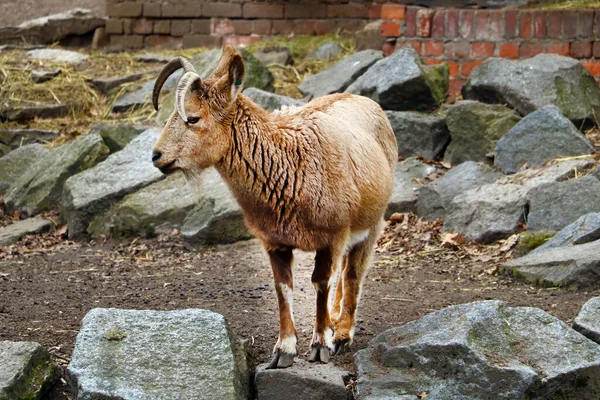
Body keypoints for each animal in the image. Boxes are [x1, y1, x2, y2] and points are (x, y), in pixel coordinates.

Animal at [152, 46, 398, 368]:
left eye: (192, 118)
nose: (156, 156)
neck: (289, 164)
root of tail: (368, 102)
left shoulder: (331, 237)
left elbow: (321, 282)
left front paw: (319, 345)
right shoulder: (275, 241)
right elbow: (283, 288)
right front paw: (284, 350)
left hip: (372, 223)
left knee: (353, 272)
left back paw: (342, 334)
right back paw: (335, 323)